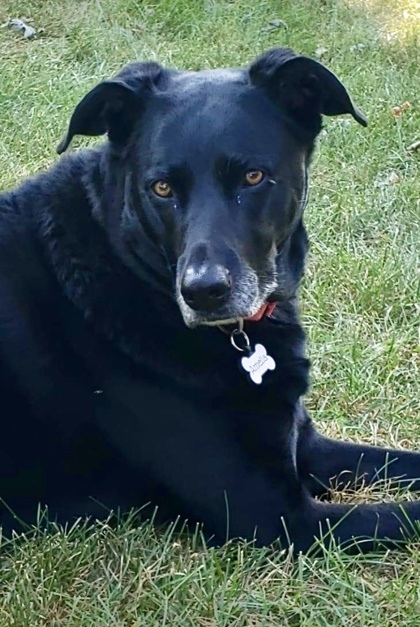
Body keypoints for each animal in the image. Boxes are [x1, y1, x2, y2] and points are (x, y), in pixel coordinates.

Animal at [0, 46, 420, 552]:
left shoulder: (307, 446)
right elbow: (406, 514)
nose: (203, 293)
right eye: (161, 188)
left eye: (254, 177)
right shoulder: (275, 515)